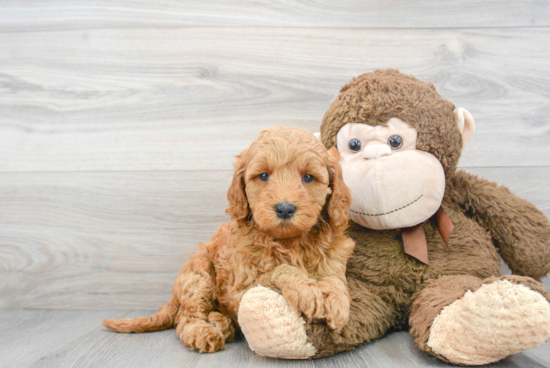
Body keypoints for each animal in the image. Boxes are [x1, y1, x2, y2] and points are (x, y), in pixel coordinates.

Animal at [102, 127, 354, 354]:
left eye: (308, 177)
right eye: (264, 176)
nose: (284, 209)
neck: (289, 242)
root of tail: (173, 299)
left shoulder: (332, 259)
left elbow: (334, 279)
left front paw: (337, 303)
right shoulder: (239, 288)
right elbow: (279, 270)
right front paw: (310, 293)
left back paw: (220, 323)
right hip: (199, 273)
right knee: (186, 315)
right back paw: (203, 331)